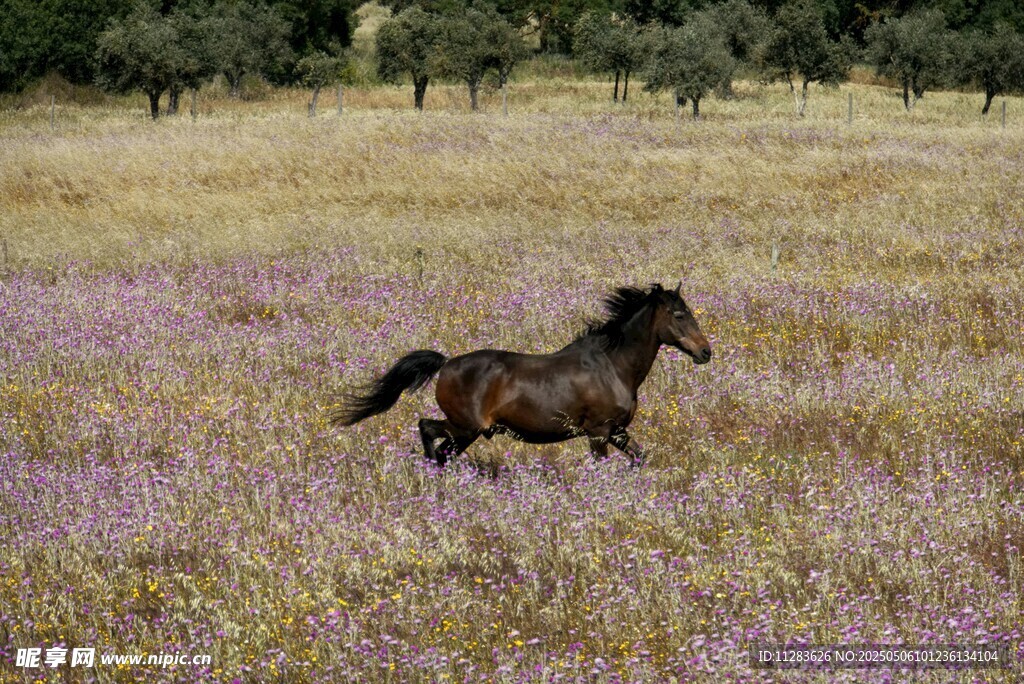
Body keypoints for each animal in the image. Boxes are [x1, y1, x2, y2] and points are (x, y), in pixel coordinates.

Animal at [332, 283, 712, 467]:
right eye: (679, 315)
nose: (706, 352)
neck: (612, 366)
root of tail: (447, 363)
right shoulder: (599, 433)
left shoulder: (618, 432)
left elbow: (639, 458)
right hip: (466, 427)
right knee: (428, 431)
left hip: (466, 432)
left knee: (441, 449)